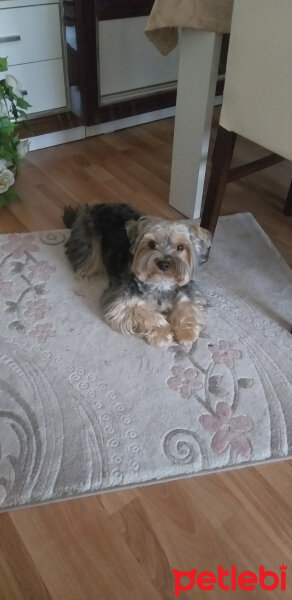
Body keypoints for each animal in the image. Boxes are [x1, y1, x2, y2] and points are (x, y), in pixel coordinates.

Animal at [62, 203, 211, 346]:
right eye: (152, 244)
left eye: (180, 247)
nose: (163, 264)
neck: (160, 283)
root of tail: (90, 208)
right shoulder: (120, 303)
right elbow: (145, 312)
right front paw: (162, 333)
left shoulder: (189, 293)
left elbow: (187, 307)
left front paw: (186, 333)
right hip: (88, 245)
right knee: (86, 262)